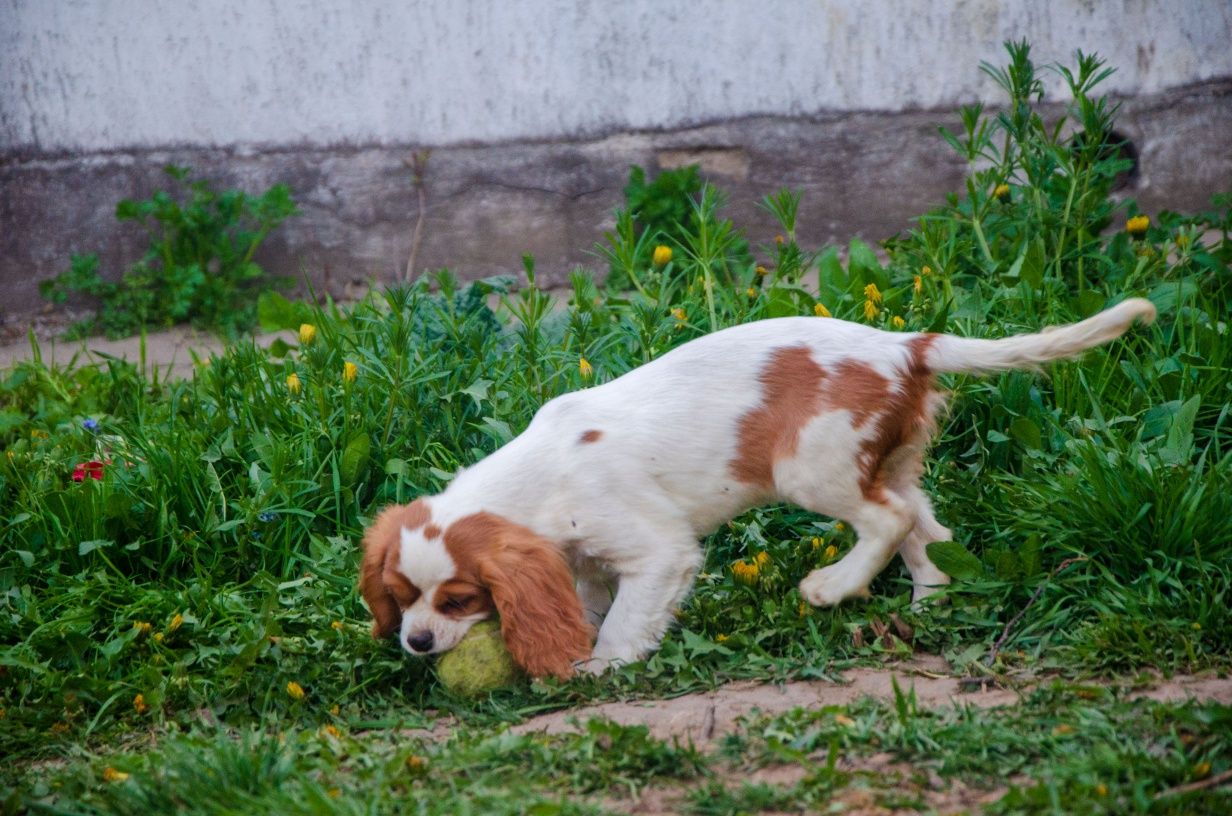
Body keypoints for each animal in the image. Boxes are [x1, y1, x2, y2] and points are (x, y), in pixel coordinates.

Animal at [357, 299, 1153, 675]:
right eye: (400, 597)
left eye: (458, 599)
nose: (417, 642)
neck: (537, 472)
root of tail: (905, 344)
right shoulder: (579, 560)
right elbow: (587, 603)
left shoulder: (658, 550)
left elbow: (626, 619)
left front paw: (601, 666)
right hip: (890, 459)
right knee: (928, 528)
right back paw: (927, 607)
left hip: (810, 467)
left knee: (888, 521)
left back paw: (831, 588)